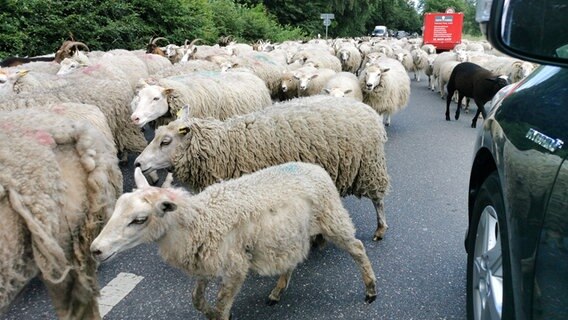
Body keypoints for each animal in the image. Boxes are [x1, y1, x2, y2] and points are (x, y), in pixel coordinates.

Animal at [91, 164, 378, 320]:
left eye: (139, 219)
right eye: (118, 206)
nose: (96, 250)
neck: (200, 221)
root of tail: (315, 167)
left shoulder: (235, 267)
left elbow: (221, 306)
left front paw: (217, 313)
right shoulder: (206, 261)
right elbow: (196, 299)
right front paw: (206, 312)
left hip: (332, 218)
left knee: (358, 248)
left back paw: (371, 289)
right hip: (289, 233)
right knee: (291, 260)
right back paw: (277, 290)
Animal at [133, 95, 390, 240]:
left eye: (166, 142)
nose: (138, 163)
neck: (225, 146)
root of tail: (365, 108)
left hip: (370, 165)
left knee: (378, 199)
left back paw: (380, 228)